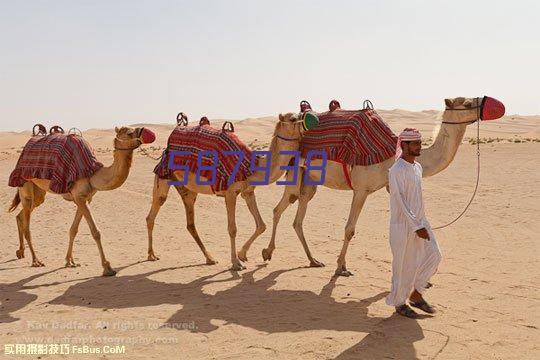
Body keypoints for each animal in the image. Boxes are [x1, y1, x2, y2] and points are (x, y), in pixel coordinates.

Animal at [8, 126, 156, 276]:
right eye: (129, 133)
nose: (146, 131)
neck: (93, 174)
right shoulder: (79, 197)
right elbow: (95, 232)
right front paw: (107, 267)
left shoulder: (85, 198)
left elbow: (73, 229)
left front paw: (70, 261)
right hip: (24, 184)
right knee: (27, 224)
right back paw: (36, 261)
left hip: (38, 193)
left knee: (21, 215)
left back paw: (20, 252)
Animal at [144, 113, 312, 270]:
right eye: (293, 118)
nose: (308, 121)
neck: (252, 167)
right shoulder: (231, 193)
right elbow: (232, 229)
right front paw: (236, 263)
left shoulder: (248, 192)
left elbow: (261, 225)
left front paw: (243, 254)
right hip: (164, 176)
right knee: (153, 212)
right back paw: (151, 255)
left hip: (187, 189)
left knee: (190, 223)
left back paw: (210, 258)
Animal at [253, 95, 506, 276]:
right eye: (466, 102)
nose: (491, 104)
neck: (392, 153)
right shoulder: (361, 189)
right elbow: (350, 229)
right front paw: (341, 267)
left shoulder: (389, 187)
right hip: (296, 173)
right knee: (280, 208)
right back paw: (267, 252)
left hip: (310, 180)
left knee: (298, 218)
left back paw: (312, 260)